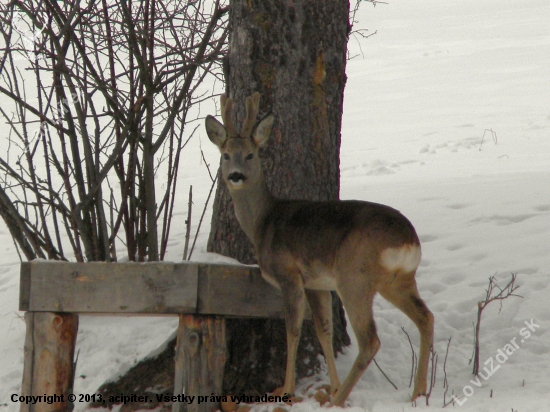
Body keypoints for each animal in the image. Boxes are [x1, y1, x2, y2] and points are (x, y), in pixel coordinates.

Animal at [207, 92, 436, 406]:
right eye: (226, 155)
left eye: (251, 155)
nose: (236, 176)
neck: (263, 222)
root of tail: (407, 239)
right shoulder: (317, 284)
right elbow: (323, 330)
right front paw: (334, 386)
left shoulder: (289, 274)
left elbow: (292, 329)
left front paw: (288, 390)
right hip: (398, 280)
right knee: (426, 317)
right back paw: (418, 392)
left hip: (354, 278)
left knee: (370, 340)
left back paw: (339, 403)